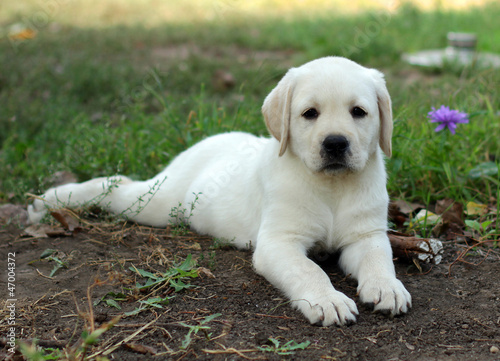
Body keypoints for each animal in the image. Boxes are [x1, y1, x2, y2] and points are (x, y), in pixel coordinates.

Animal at [28, 57, 410, 326]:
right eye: (309, 114)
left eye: (359, 112)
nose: (335, 144)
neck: (331, 186)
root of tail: (207, 141)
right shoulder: (278, 243)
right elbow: (308, 270)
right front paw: (327, 299)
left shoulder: (366, 234)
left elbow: (379, 258)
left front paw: (387, 287)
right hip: (155, 203)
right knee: (115, 186)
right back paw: (50, 200)